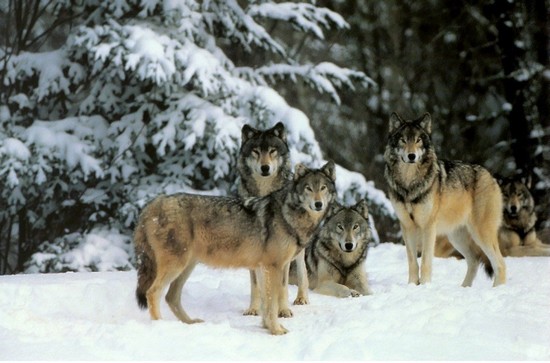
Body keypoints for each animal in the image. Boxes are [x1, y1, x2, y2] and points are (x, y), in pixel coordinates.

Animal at [135, 161, 338, 336]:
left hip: (186, 267)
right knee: (153, 292)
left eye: (323, 188)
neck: (288, 215)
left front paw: (267, 327)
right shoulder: (274, 267)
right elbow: (271, 303)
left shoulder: (263, 268)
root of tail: (153, 203)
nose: (318, 204)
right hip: (176, 266)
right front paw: (277, 330)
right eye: (308, 188)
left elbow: (266, 302)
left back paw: (190, 323)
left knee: (171, 297)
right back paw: (159, 326)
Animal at [237, 121, 308, 318]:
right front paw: (254, 309)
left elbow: (283, 285)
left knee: (303, 271)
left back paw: (301, 298)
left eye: (272, 151)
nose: (265, 168)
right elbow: (256, 284)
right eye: (256, 151)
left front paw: (283, 310)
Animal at [384, 112, 508, 288]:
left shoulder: (428, 227)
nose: (411, 156)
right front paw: (412, 286)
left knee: (499, 264)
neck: (409, 184)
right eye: (403, 140)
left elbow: (425, 261)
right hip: (457, 237)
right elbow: (412, 262)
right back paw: (464, 288)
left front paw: (425, 286)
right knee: (474, 261)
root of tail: (491, 175)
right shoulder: (407, 227)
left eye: (418, 140)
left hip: (481, 234)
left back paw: (497, 289)